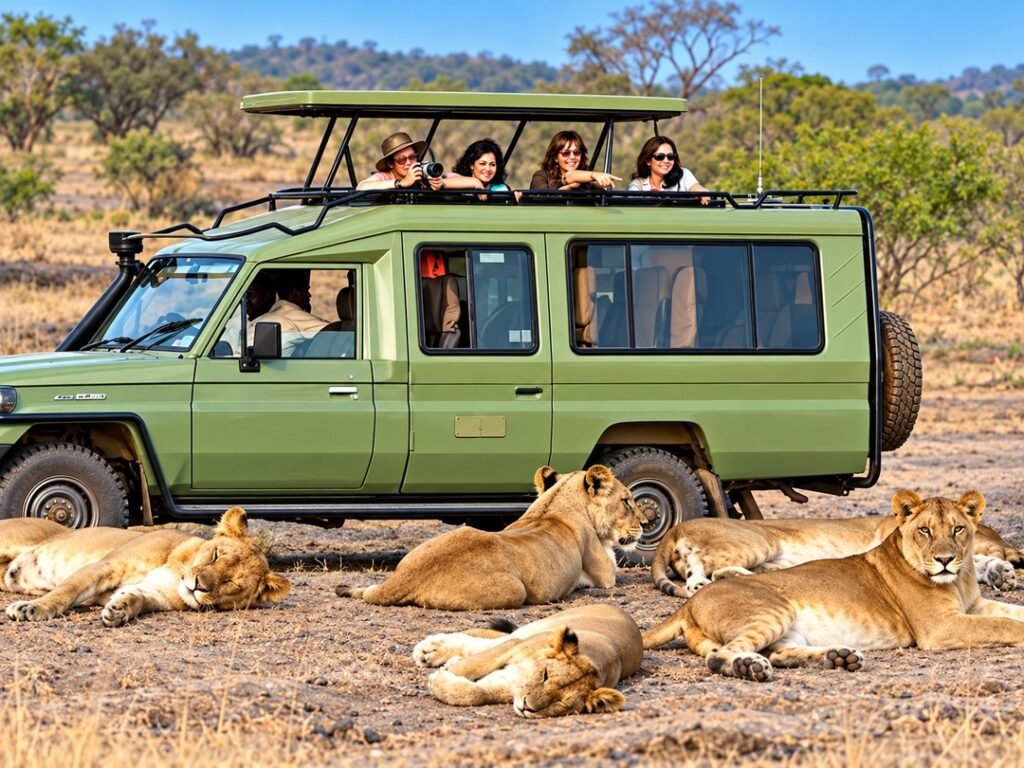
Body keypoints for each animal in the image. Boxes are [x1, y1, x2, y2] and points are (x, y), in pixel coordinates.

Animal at [1, 507, 291, 626]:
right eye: (216, 555)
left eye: (232, 583)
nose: (198, 586)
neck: (178, 571)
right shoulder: (108, 564)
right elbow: (65, 591)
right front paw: (32, 609)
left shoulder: (157, 595)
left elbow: (136, 598)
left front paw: (118, 611)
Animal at [335, 465, 648, 610]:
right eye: (626, 501)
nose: (646, 523)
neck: (556, 503)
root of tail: (404, 578)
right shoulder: (605, 575)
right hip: (515, 590)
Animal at [412, 604, 643, 717]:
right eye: (545, 675)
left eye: (560, 702)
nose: (526, 707)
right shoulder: (512, 648)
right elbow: (472, 664)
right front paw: (441, 675)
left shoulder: (508, 684)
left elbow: (476, 693)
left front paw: (444, 682)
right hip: (532, 629)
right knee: (479, 640)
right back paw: (430, 650)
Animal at [641, 490, 1024, 682]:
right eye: (925, 530)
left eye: (958, 529)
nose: (945, 560)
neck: (959, 579)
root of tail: (687, 607)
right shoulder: (940, 627)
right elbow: (1002, 625)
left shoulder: (974, 607)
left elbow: (1011, 612)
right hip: (771, 606)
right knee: (720, 655)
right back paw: (751, 667)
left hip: (786, 628)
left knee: (779, 652)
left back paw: (839, 657)